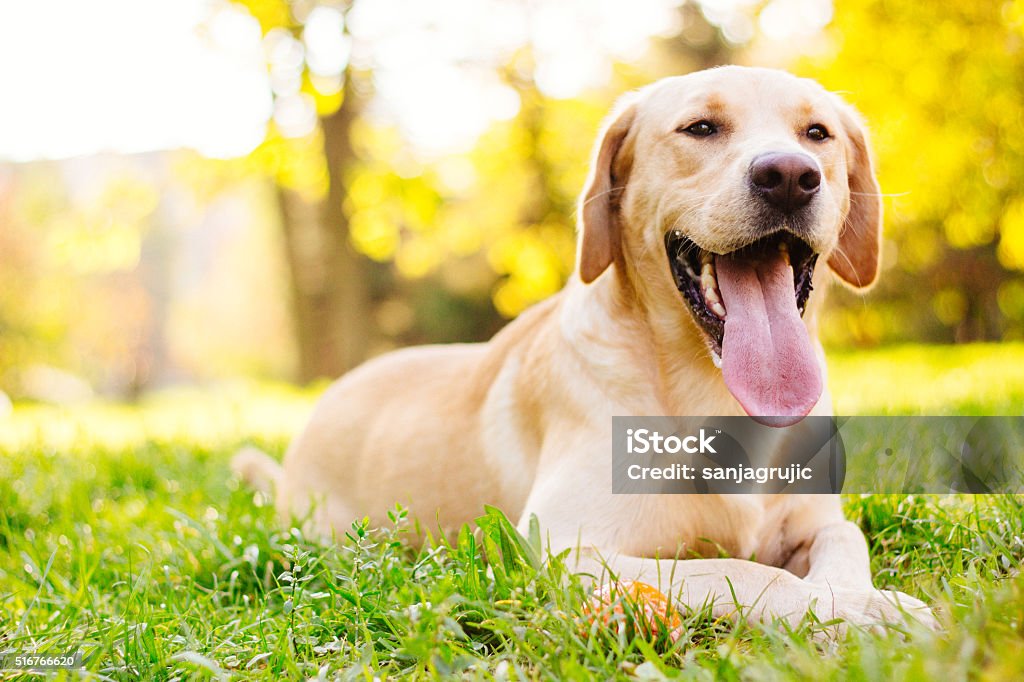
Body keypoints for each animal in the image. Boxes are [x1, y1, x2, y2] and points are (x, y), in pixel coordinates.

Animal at [237, 67, 937, 626]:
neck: (712, 392)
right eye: (701, 128)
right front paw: (858, 609)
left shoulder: (816, 520)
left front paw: (863, 598)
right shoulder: (564, 549)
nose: (790, 175)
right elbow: (741, 572)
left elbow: (845, 541)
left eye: (818, 133)